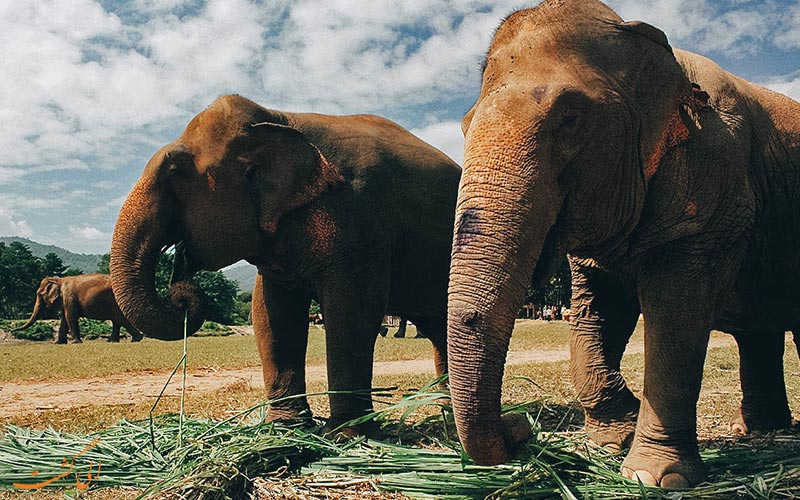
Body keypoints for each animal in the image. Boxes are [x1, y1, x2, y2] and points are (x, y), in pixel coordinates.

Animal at [13, 274, 144, 344]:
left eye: (39, 294)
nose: (13, 329)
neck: (59, 280)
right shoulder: (65, 300)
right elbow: (64, 320)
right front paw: (58, 343)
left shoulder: (69, 297)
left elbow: (70, 317)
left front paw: (75, 342)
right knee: (116, 320)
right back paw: (113, 341)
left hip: (114, 301)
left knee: (119, 319)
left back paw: (136, 339)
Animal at [446, 0, 800, 488]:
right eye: (463, 127)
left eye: (569, 120)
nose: (521, 427)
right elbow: (594, 316)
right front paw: (612, 440)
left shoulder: (712, 183)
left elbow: (676, 317)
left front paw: (651, 476)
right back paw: (756, 430)